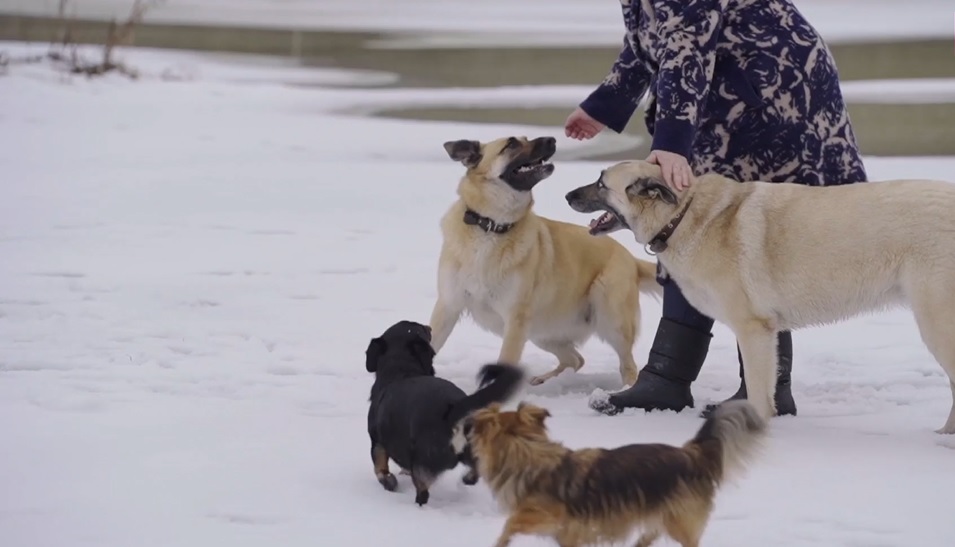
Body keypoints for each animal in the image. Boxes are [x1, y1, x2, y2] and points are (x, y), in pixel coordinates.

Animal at [364, 318, 524, 508]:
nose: (429, 326)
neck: (402, 370)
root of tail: (454, 408)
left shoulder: (377, 442)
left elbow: (380, 467)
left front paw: (389, 482)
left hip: (423, 463)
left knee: (423, 492)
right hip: (472, 450)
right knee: (475, 471)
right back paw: (467, 479)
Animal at [430, 136, 660, 386]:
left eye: (525, 138)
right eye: (512, 144)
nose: (551, 139)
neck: (491, 227)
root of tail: (630, 258)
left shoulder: (516, 320)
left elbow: (505, 360)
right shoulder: (448, 307)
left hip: (611, 320)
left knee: (627, 366)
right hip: (542, 331)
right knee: (575, 359)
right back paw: (546, 379)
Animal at [464, 398, 768, 547]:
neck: (526, 448)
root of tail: (691, 454)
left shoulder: (548, 516)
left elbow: (509, 524)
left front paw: (500, 542)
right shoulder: (569, 536)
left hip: (678, 522)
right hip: (660, 514)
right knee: (648, 537)